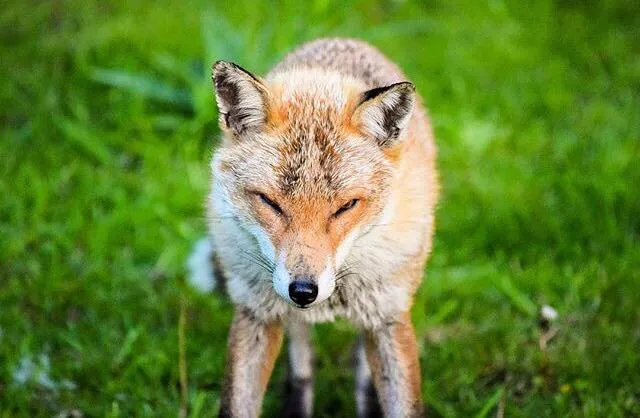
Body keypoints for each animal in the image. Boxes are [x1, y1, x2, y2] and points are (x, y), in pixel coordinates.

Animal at [188, 38, 439, 417]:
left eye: (345, 207)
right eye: (270, 202)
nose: (303, 290)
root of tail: (344, 40)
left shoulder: (388, 315)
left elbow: (404, 404)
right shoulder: (254, 312)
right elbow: (237, 404)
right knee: (300, 352)